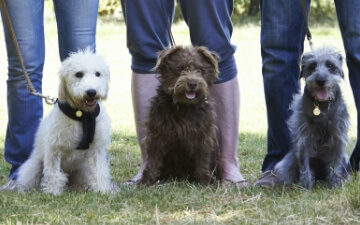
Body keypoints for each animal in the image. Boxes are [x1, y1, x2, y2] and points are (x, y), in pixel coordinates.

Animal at [16, 48, 116, 195]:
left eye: (98, 74)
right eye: (78, 74)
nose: (91, 92)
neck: (82, 115)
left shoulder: (96, 148)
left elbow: (99, 170)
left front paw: (102, 190)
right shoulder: (54, 148)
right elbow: (54, 173)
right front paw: (52, 192)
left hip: (83, 169)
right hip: (33, 166)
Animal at [140, 45, 222, 185]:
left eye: (200, 70)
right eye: (180, 69)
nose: (193, 83)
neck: (184, 106)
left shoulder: (203, 136)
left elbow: (202, 159)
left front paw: (204, 183)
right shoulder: (157, 133)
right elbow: (152, 160)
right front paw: (146, 182)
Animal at [274, 47, 350, 190]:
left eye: (330, 65)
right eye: (313, 66)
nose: (320, 80)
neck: (322, 107)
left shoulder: (338, 139)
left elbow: (335, 165)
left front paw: (334, 186)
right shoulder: (304, 140)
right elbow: (305, 166)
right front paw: (306, 188)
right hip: (289, 161)